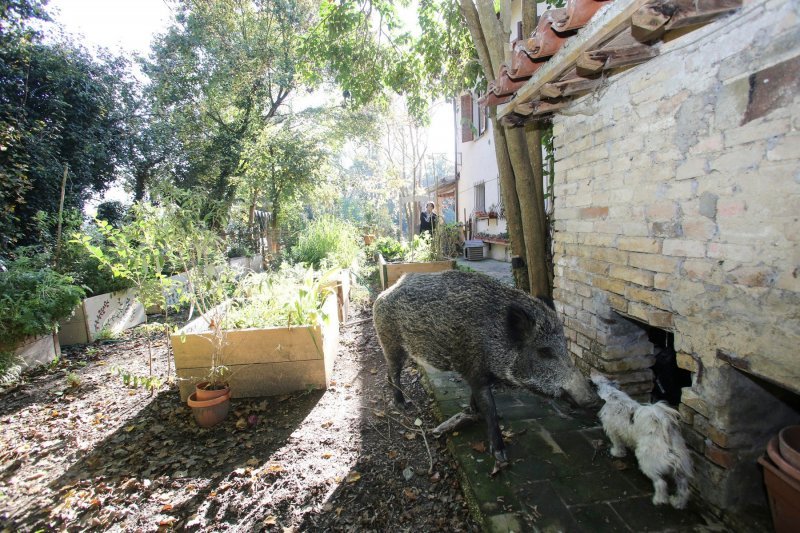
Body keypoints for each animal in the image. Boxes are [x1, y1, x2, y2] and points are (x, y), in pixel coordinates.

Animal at [592, 372, 692, 510]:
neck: (613, 396)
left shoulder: (613, 431)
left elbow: (617, 444)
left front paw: (617, 453)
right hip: (680, 467)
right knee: (683, 488)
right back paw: (678, 503)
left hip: (648, 461)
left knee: (660, 483)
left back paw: (659, 500)